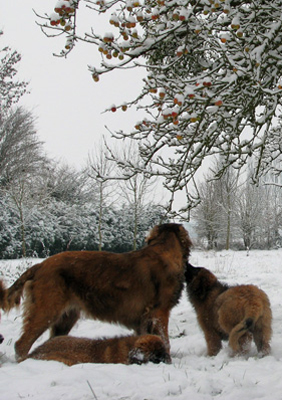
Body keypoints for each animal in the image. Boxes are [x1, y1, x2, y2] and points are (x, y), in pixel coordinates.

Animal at [0, 223, 192, 360]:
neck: (163, 248)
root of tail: (39, 265)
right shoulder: (160, 313)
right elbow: (165, 341)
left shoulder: (145, 319)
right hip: (46, 310)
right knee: (21, 344)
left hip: (66, 317)